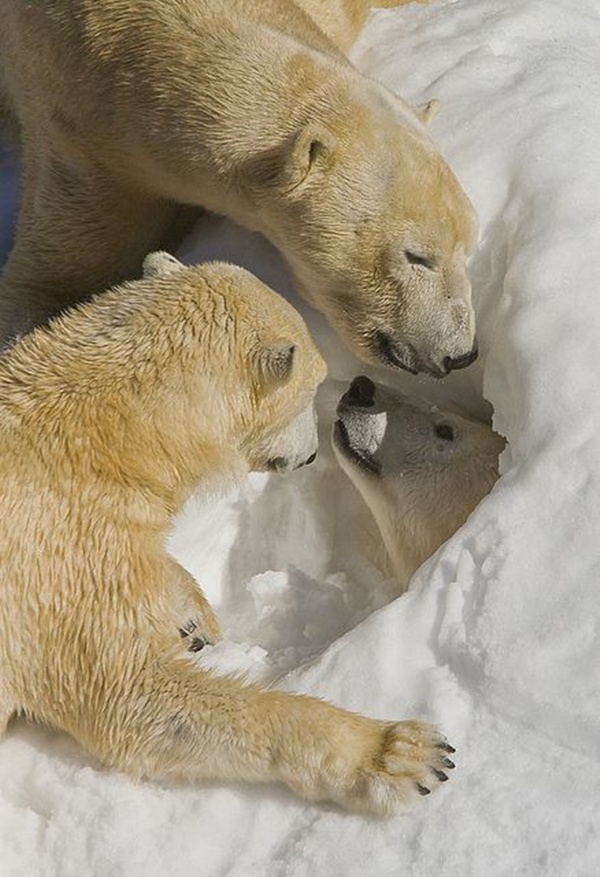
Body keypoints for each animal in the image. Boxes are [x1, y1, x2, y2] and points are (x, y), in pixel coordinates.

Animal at [0, 253, 454, 816]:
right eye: (312, 390)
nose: (310, 454)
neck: (97, 436)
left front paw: (190, 617)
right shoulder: (59, 556)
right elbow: (143, 703)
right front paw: (404, 753)